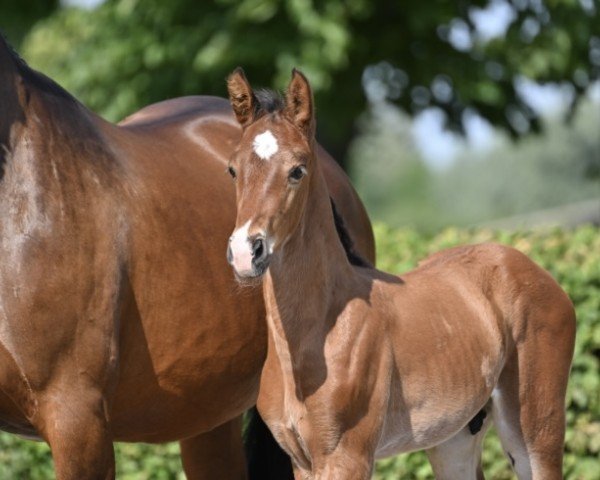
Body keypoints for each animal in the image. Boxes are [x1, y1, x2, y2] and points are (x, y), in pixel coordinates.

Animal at [225, 68, 576, 480]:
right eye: (233, 169)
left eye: (297, 170)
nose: (246, 253)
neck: (313, 335)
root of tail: (535, 270)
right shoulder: (302, 461)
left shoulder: (348, 455)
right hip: (454, 438)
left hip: (535, 429)